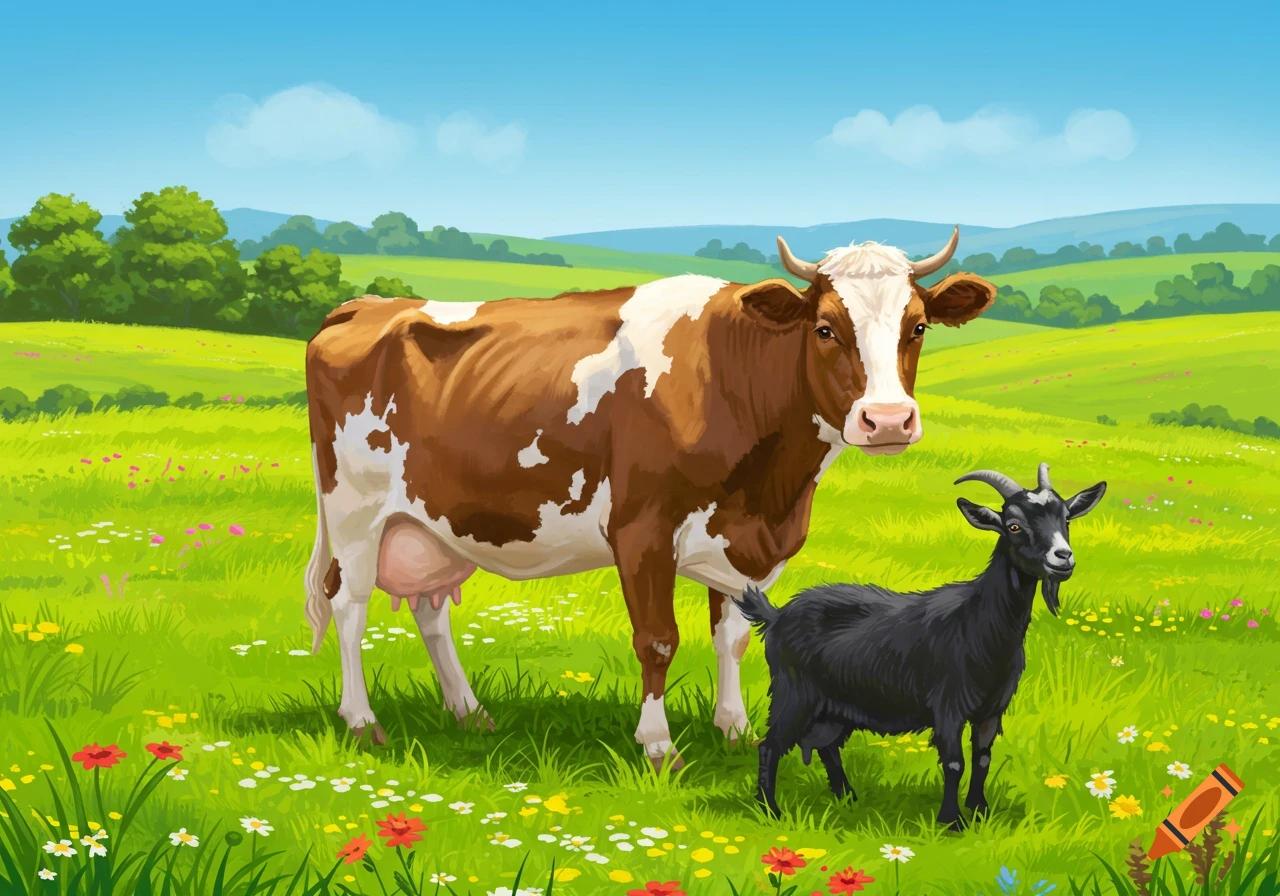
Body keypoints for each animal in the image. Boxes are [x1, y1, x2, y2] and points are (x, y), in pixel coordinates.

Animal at [303, 227, 996, 770]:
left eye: (918, 327)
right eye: (825, 328)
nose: (888, 421)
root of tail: (363, 307)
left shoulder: (740, 541)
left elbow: (734, 637)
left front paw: (734, 730)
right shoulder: (642, 529)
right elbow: (658, 639)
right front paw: (659, 747)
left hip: (432, 524)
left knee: (429, 609)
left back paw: (469, 713)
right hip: (357, 511)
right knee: (349, 605)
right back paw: (363, 721)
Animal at [734, 463, 1106, 830]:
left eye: (1067, 519)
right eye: (1013, 525)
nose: (1063, 557)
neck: (980, 623)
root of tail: (776, 615)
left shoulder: (992, 709)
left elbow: (983, 758)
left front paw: (979, 811)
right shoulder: (948, 705)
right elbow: (955, 762)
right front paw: (951, 822)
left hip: (836, 705)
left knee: (827, 746)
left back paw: (848, 798)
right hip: (793, 692)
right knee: (770, 746)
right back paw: (771, 811)